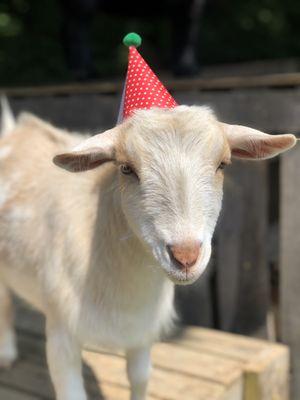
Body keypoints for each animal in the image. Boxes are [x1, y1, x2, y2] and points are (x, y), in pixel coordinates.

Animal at [0, 101, 296, 400]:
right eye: (126, 168)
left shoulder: (142, 329)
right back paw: (7, 354)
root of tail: (13, 131)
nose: (185, 255)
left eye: (222, 164)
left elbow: (141, 377)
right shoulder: (62, 331)